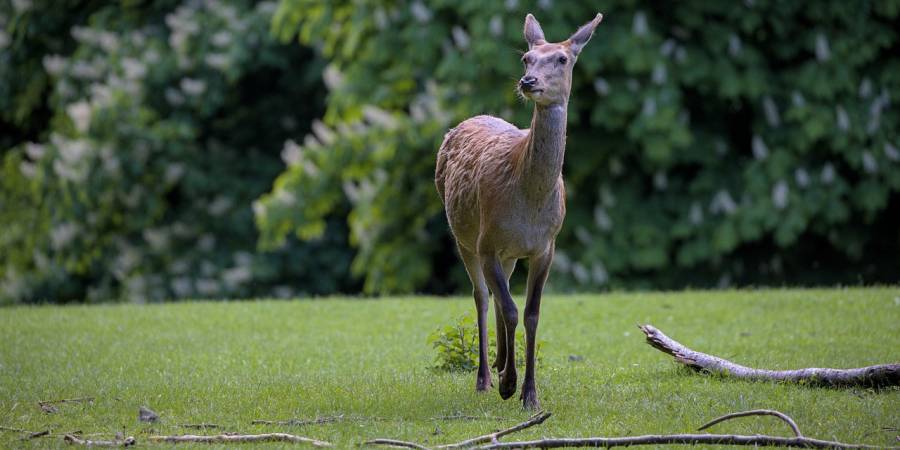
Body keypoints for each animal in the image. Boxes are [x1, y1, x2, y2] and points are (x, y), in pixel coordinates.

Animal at [436, 12, 604, 410]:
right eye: (527, 58)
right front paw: (509, 385)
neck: (529, 204)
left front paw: (529, 394)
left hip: (508, 252)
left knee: (500, 296)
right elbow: (511, 309)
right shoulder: (487, 241)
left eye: (562, 58)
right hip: (465, 236)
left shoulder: (546, 246)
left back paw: (499, 364)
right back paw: (486, 377)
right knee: (483, 297)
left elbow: (530, 314)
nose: (528, 82)